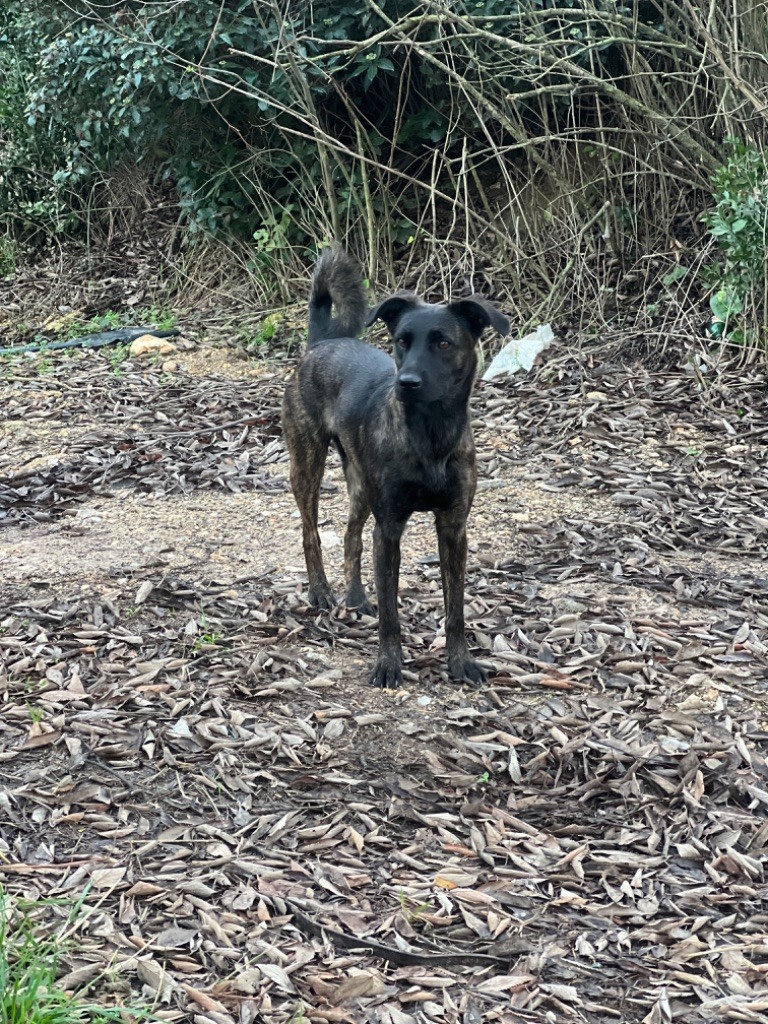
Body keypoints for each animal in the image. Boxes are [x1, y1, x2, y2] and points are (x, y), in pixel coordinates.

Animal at [284, 247, 512, 688]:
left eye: (443, 343)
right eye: (401, 341)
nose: (406, 382)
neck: (430, 434)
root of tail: (323, 341)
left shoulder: (453, 527)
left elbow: (456, 609)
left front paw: (460, 661)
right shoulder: (389, 527)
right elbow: (391, 613)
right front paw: (389, 663)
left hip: (359, 482)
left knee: (352, 535)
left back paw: (356, 596)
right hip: (307, 463)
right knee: (310, 531)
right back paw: (320, 591)